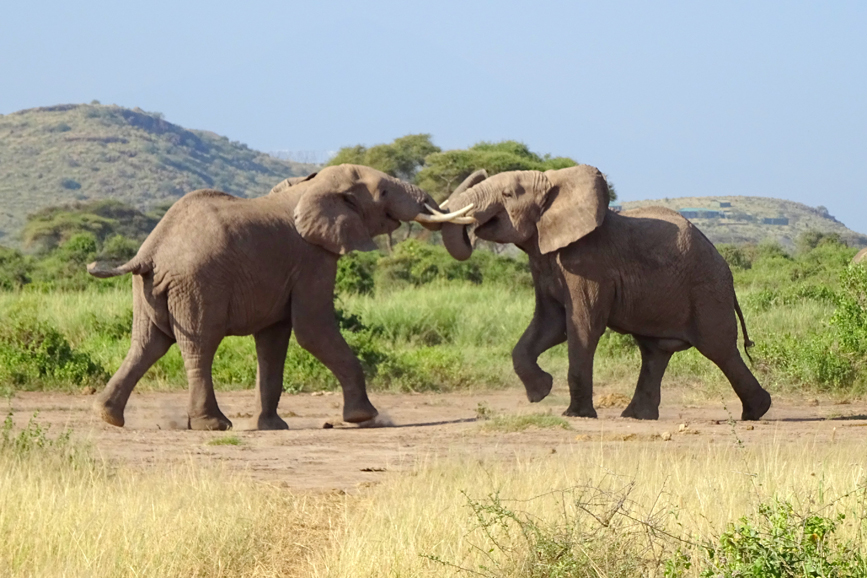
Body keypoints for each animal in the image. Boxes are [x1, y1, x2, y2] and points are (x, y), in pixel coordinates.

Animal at [86, 164, 470, 431]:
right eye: (386, 192)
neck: (313, 185)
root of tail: (150, 250)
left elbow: (273, 341)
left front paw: (272, 427)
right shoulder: (313, 258)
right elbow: (313, 330)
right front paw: (364, 417)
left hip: (147, 289)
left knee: (146, 344)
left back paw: (108, 417)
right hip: (197, 284)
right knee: (199, 347)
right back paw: (213, 425)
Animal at [438, 165, 772, 421]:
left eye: (507, 195)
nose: (473, 231)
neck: (555, 186)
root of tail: (725, 267)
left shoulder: (588, 263)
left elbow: (582, 326)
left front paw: (575, 415)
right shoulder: (545, 263)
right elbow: (549, 326)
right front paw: (541, 391)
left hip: (707, 290)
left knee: (720, 349)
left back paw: (757, 412)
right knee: (655, 352)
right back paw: (637, 417)